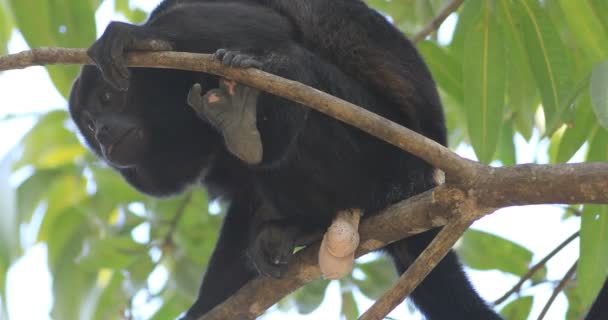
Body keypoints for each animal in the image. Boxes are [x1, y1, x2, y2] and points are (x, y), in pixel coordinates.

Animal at [69, 0, 502, 320]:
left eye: (107, 98)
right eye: (89, 123)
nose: (103, 134)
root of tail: (429, 180)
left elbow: (264, 26)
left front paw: (137, 37)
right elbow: (244, 202)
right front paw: (202, 309)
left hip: (385, 156)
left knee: (296, 60)